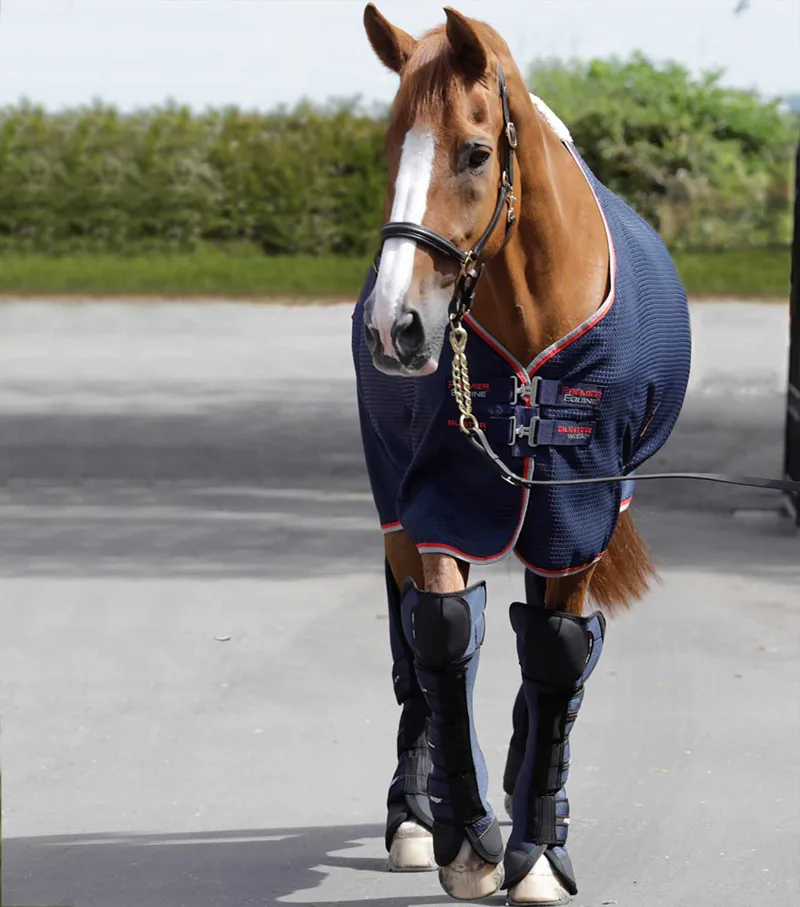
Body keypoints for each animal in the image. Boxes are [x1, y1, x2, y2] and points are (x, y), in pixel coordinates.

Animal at [351, 5, 692, 904]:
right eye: (390, 148)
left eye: (475, 152)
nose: (395, 327)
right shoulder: (441, 496)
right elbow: (439, 636)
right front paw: (464, 841)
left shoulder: (581, 504)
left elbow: (556, 650)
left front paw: (536, 852)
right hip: (396, 498)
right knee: (417, 641)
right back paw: (417, 812)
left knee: (545, 644)